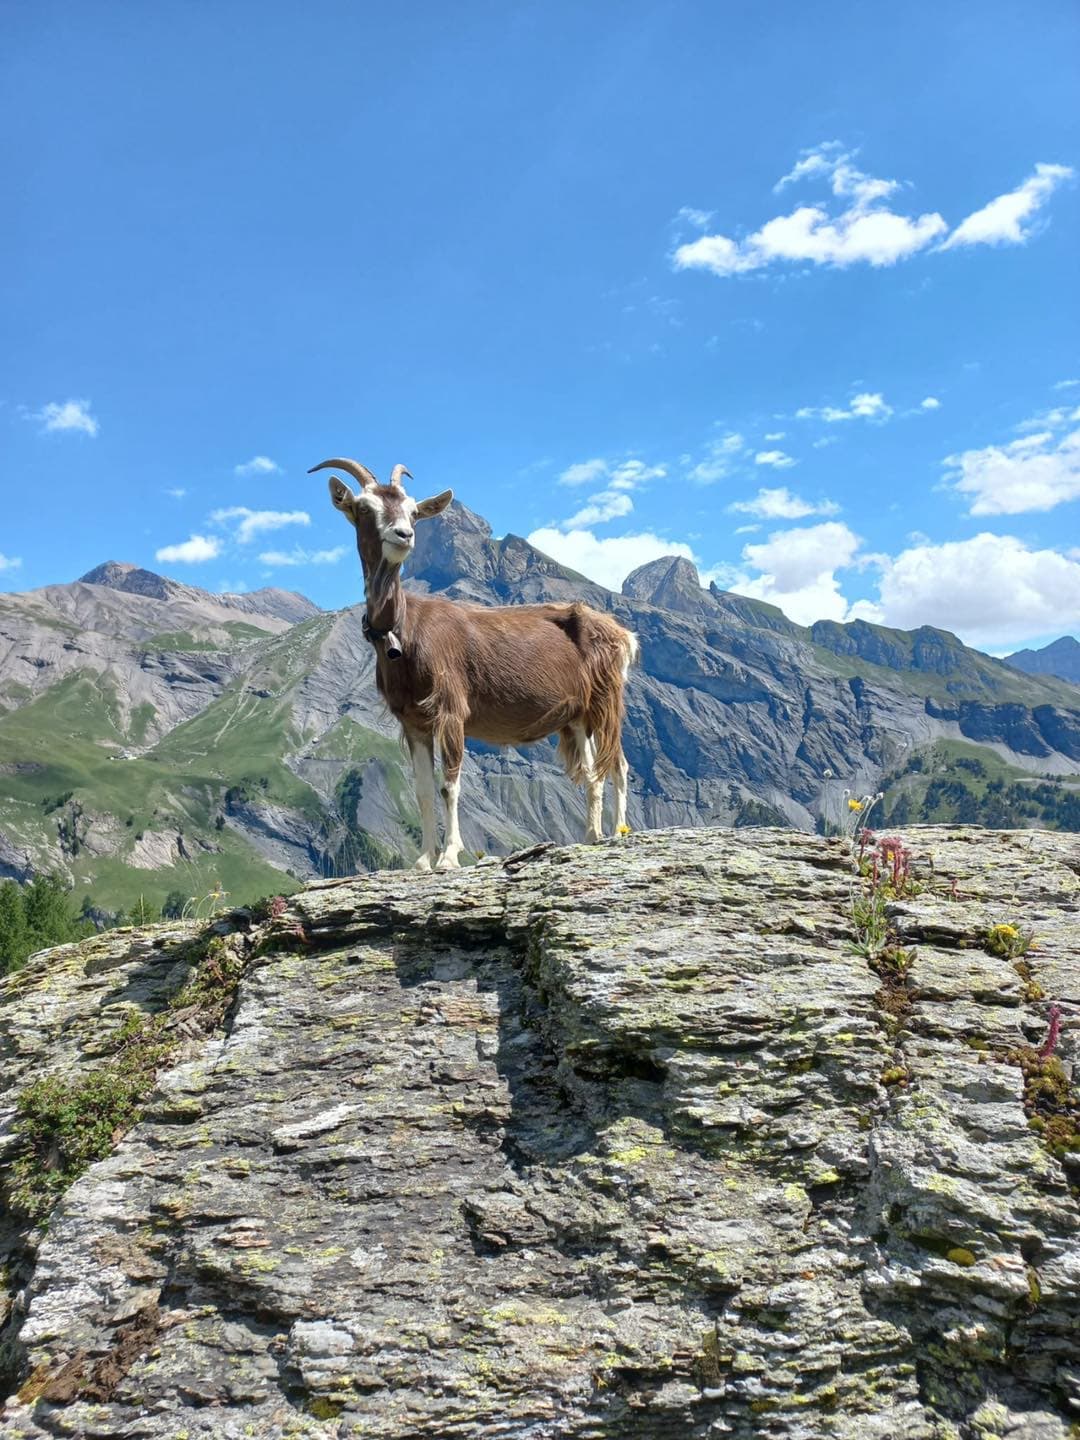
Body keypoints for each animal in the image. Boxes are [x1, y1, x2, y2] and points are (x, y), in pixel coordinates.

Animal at [310, 457, 638, 871]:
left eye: (413, 511)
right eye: (365, 508)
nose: (404, 535)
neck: (406, 631)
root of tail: (623, 635)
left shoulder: (451, 709)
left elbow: (449, 785)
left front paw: (449, 857)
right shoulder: (413, 722)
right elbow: (423, 790)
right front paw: (423, 860)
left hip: (607, 700)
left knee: (619, 764)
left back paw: (619, 833)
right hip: (578, 717)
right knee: (592, 770)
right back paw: (591, 836)